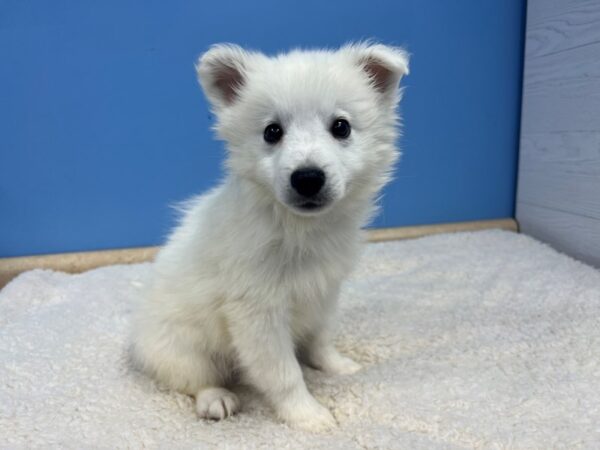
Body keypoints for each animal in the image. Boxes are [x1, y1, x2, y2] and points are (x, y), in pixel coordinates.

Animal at [131, 43, 408, 432]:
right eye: (272, 132)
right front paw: (308, 415)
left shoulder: (324, 291)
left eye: (341, 127)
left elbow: (320, 338)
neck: (299, 229)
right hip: (180, 346)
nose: (307, 178)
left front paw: (338, 366)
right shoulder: (257, 311)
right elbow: (284, 372)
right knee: (194, 380)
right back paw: (216, 399)